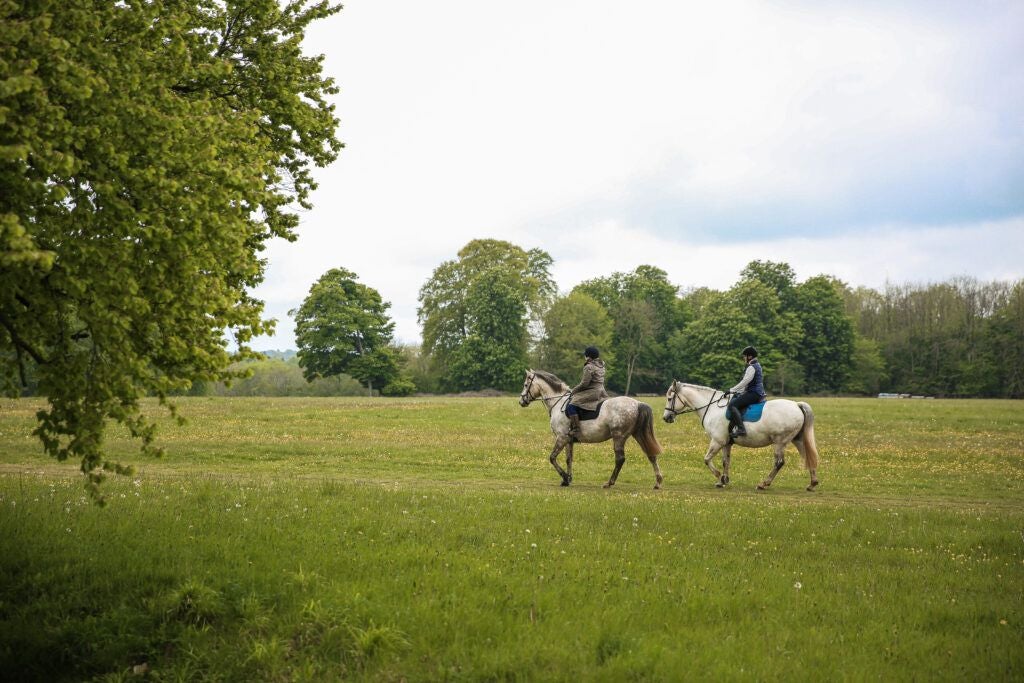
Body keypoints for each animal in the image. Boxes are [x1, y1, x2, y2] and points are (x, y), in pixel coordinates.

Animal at [520, 370, 663, 489]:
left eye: (526, 384)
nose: (521, 402)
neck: (559, 402)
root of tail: (638, 403)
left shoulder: (562, 437)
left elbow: (552, 458)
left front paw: (565, 477)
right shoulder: (569, 440)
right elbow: (568, 459)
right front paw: (568, 479)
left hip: (619, 437)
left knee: (620, 459)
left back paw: (609, 483)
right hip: (638, 434)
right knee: (651, 455)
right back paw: (658, 482)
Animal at [663, 378, 823, 491]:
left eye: (670, 398)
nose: (666, 418)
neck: (713, 407)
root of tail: (796, 404)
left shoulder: (717, 441)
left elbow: (707, 459)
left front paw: (719, 478)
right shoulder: (726, 443)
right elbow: (725, 461)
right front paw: (724, 480)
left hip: (779, 442)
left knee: (779, 463)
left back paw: (763, 484)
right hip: (797, 440)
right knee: (808, 457)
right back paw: (812, 483)